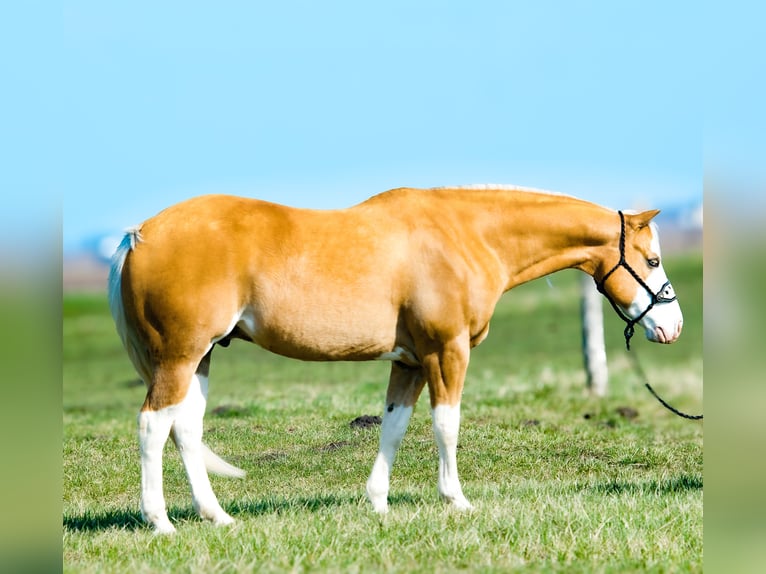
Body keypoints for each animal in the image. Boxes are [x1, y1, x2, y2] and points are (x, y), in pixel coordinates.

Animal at [108, 186, 684, 536]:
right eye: (652, 260)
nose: (673, 327)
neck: (464, 237)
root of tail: (140, 233)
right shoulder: (446, 352)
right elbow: (446, 425)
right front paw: (456, 500)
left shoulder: (408, 361)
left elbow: (394, 426)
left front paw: (379, 502)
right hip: (179, 357)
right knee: (152, 426)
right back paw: (160, 522)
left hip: (201, 358)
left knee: (185, 429)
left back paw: (217, 516)